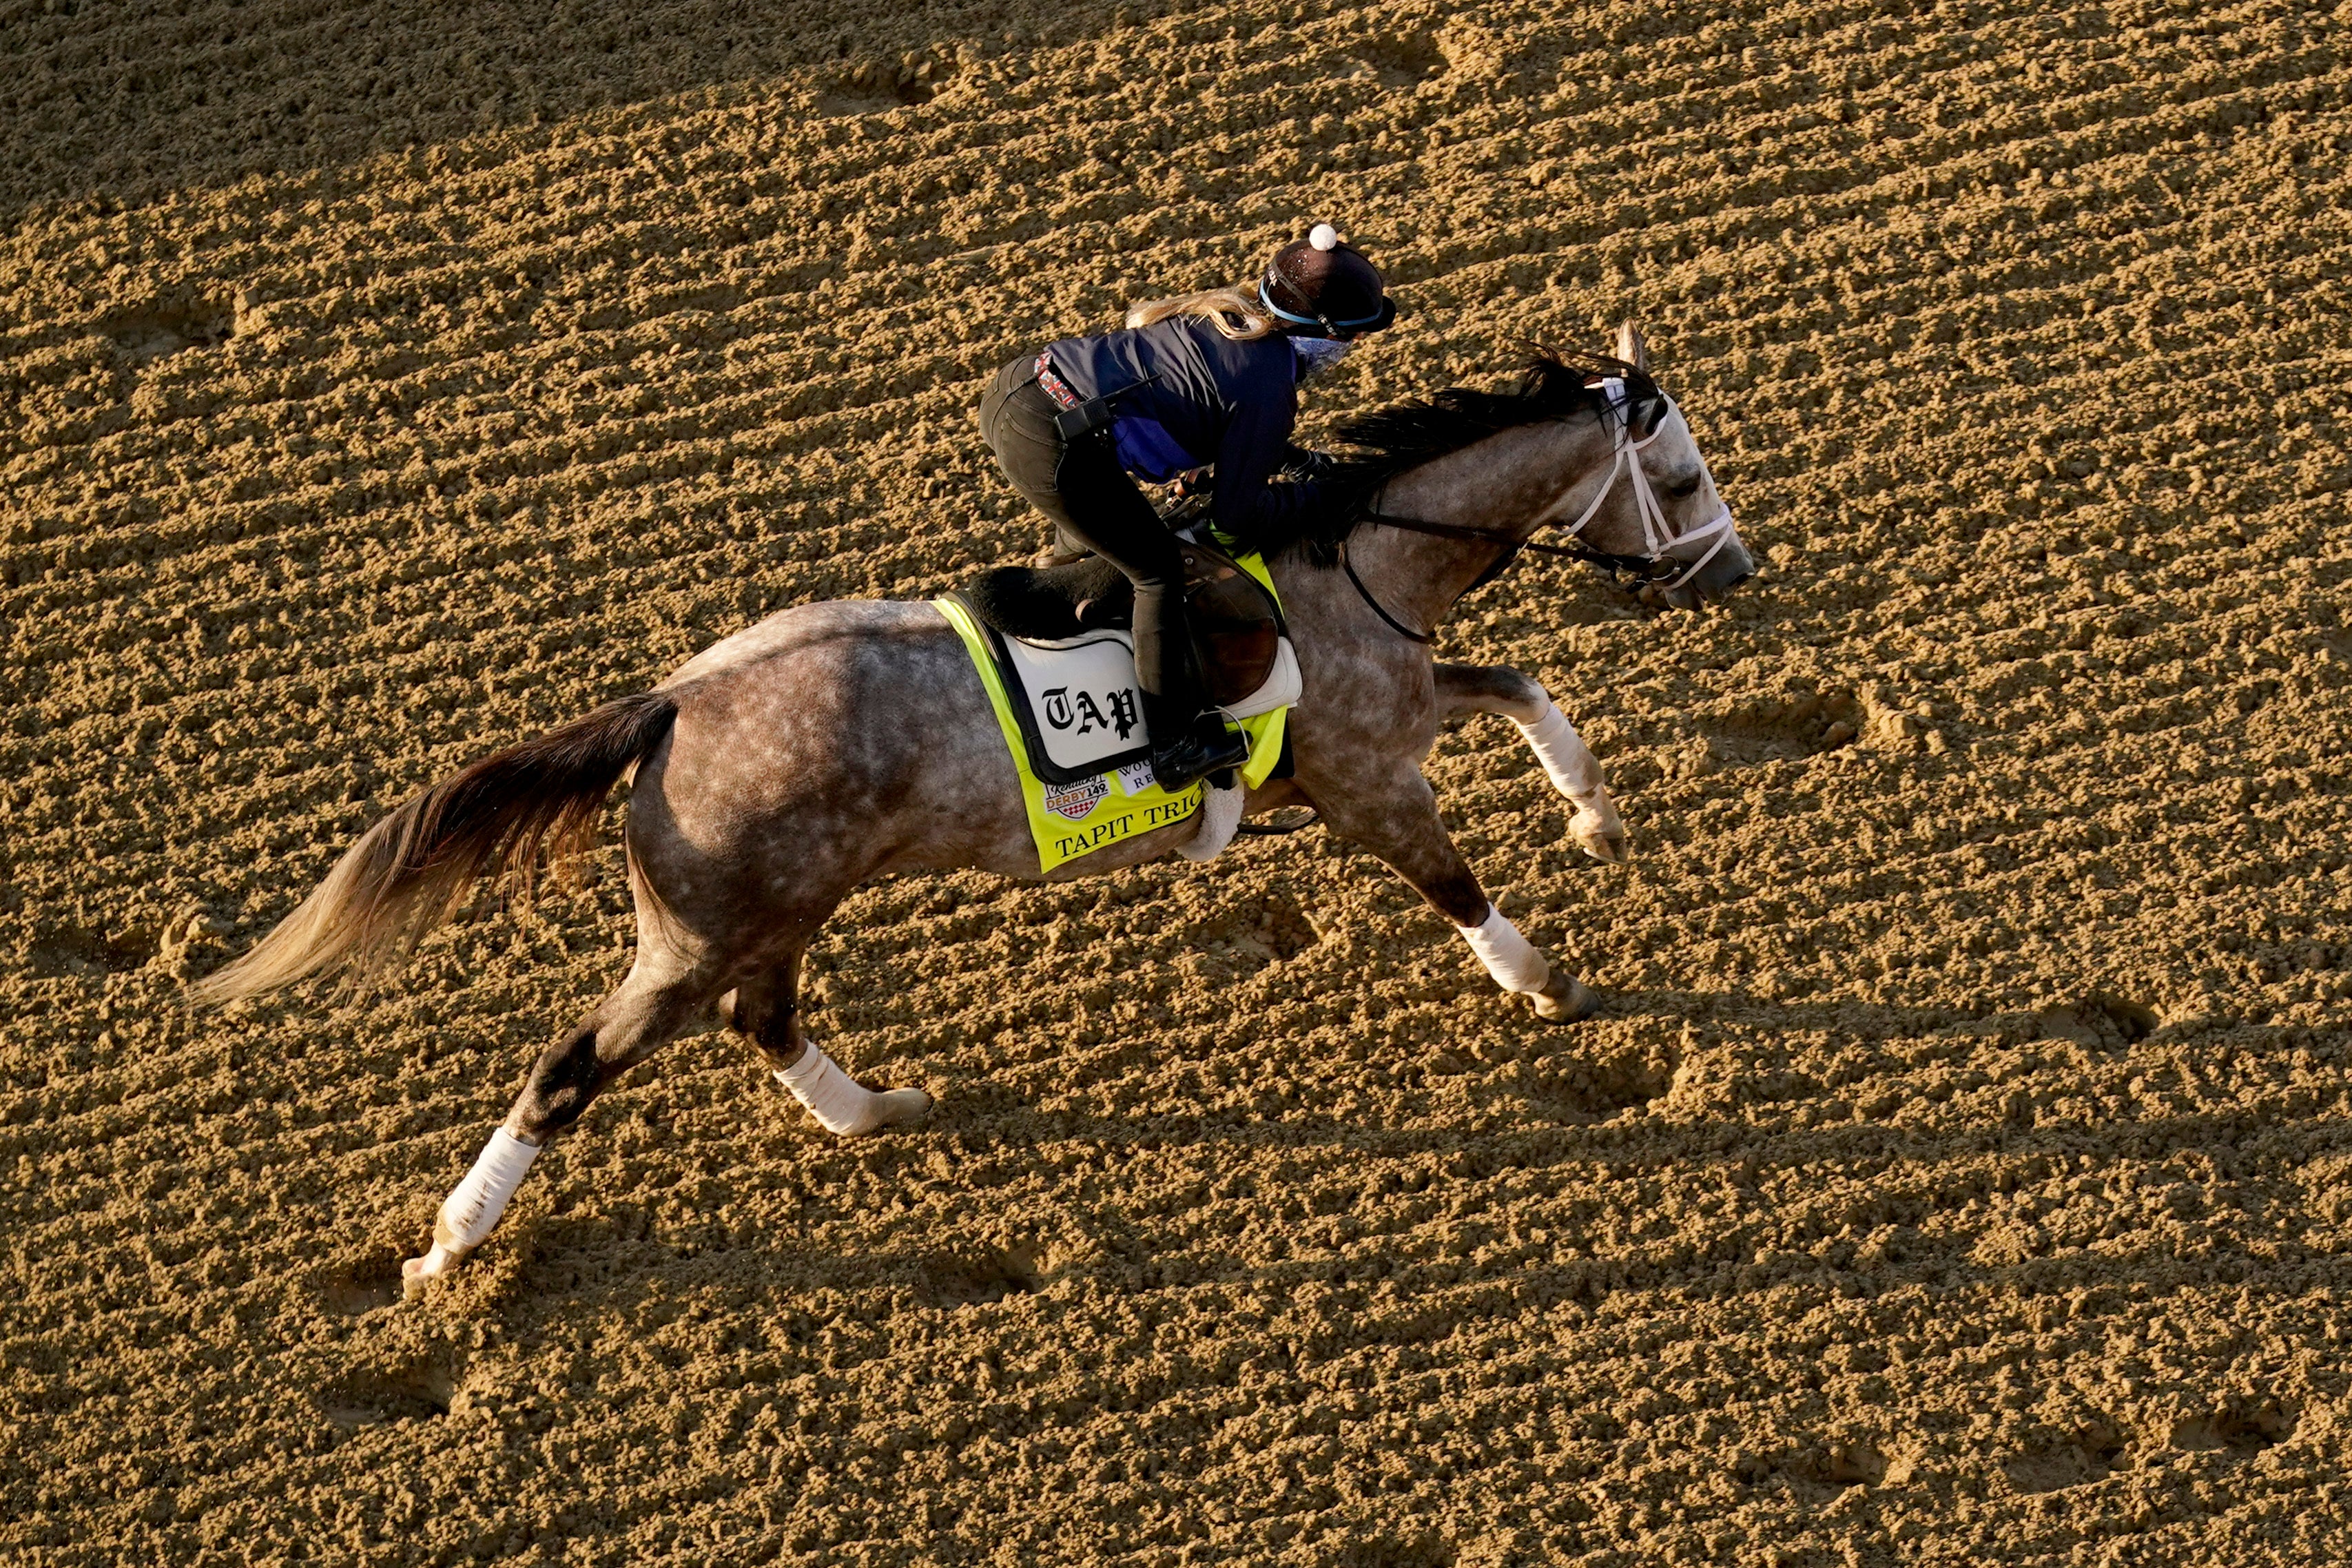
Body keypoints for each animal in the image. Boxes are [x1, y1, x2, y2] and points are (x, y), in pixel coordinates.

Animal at [193, 322, 1755, 1293]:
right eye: (1679, 477)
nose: (1733, 572)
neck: (1350, 555)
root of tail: (673, 704)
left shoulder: (1381, 722)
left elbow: (1529, 689)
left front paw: (1594, 813)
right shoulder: (1371, 777)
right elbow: (1457, 885)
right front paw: (1544, 979)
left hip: (774, 906)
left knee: (767, 1020)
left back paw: (871, 1108)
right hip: (697, 934)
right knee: (572, 1063)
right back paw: (450, 1247)